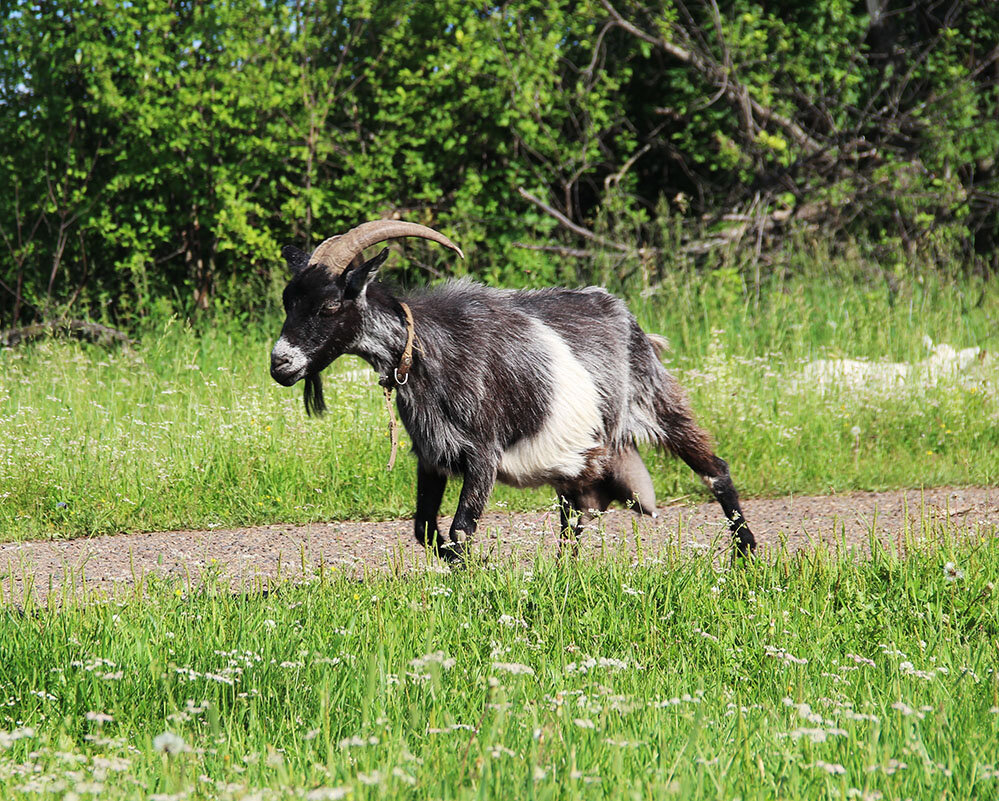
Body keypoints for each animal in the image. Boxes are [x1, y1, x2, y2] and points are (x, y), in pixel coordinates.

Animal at [270, 219, 752, 556]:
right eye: (288, 301)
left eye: (331, 305)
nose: (280, 364)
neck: (427, 349)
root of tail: (630, 319)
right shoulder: (433, 455)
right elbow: (425, 529)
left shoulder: (483, 453)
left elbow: (461, 529)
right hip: (578, 455)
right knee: (573, 516)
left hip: (654, 403)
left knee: (716, 469)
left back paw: (746, 558)